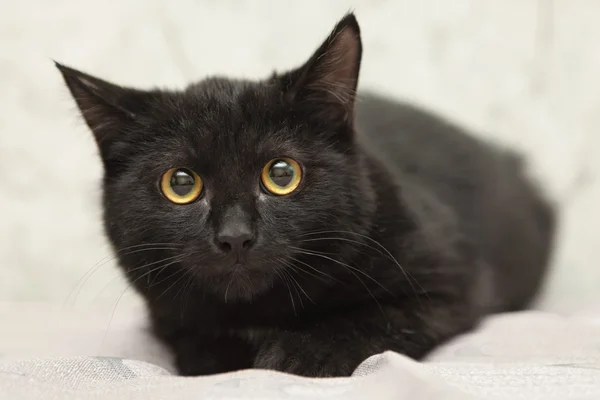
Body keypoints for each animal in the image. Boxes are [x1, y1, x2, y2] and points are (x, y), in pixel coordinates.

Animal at [55, 14, 552, 376]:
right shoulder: (165, 311)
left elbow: (379, 317)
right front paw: (227, 356)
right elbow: (198, 339)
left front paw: (303, 352)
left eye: (281, 174)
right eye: (180, 184)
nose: (235, 236)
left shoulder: (451, 286)